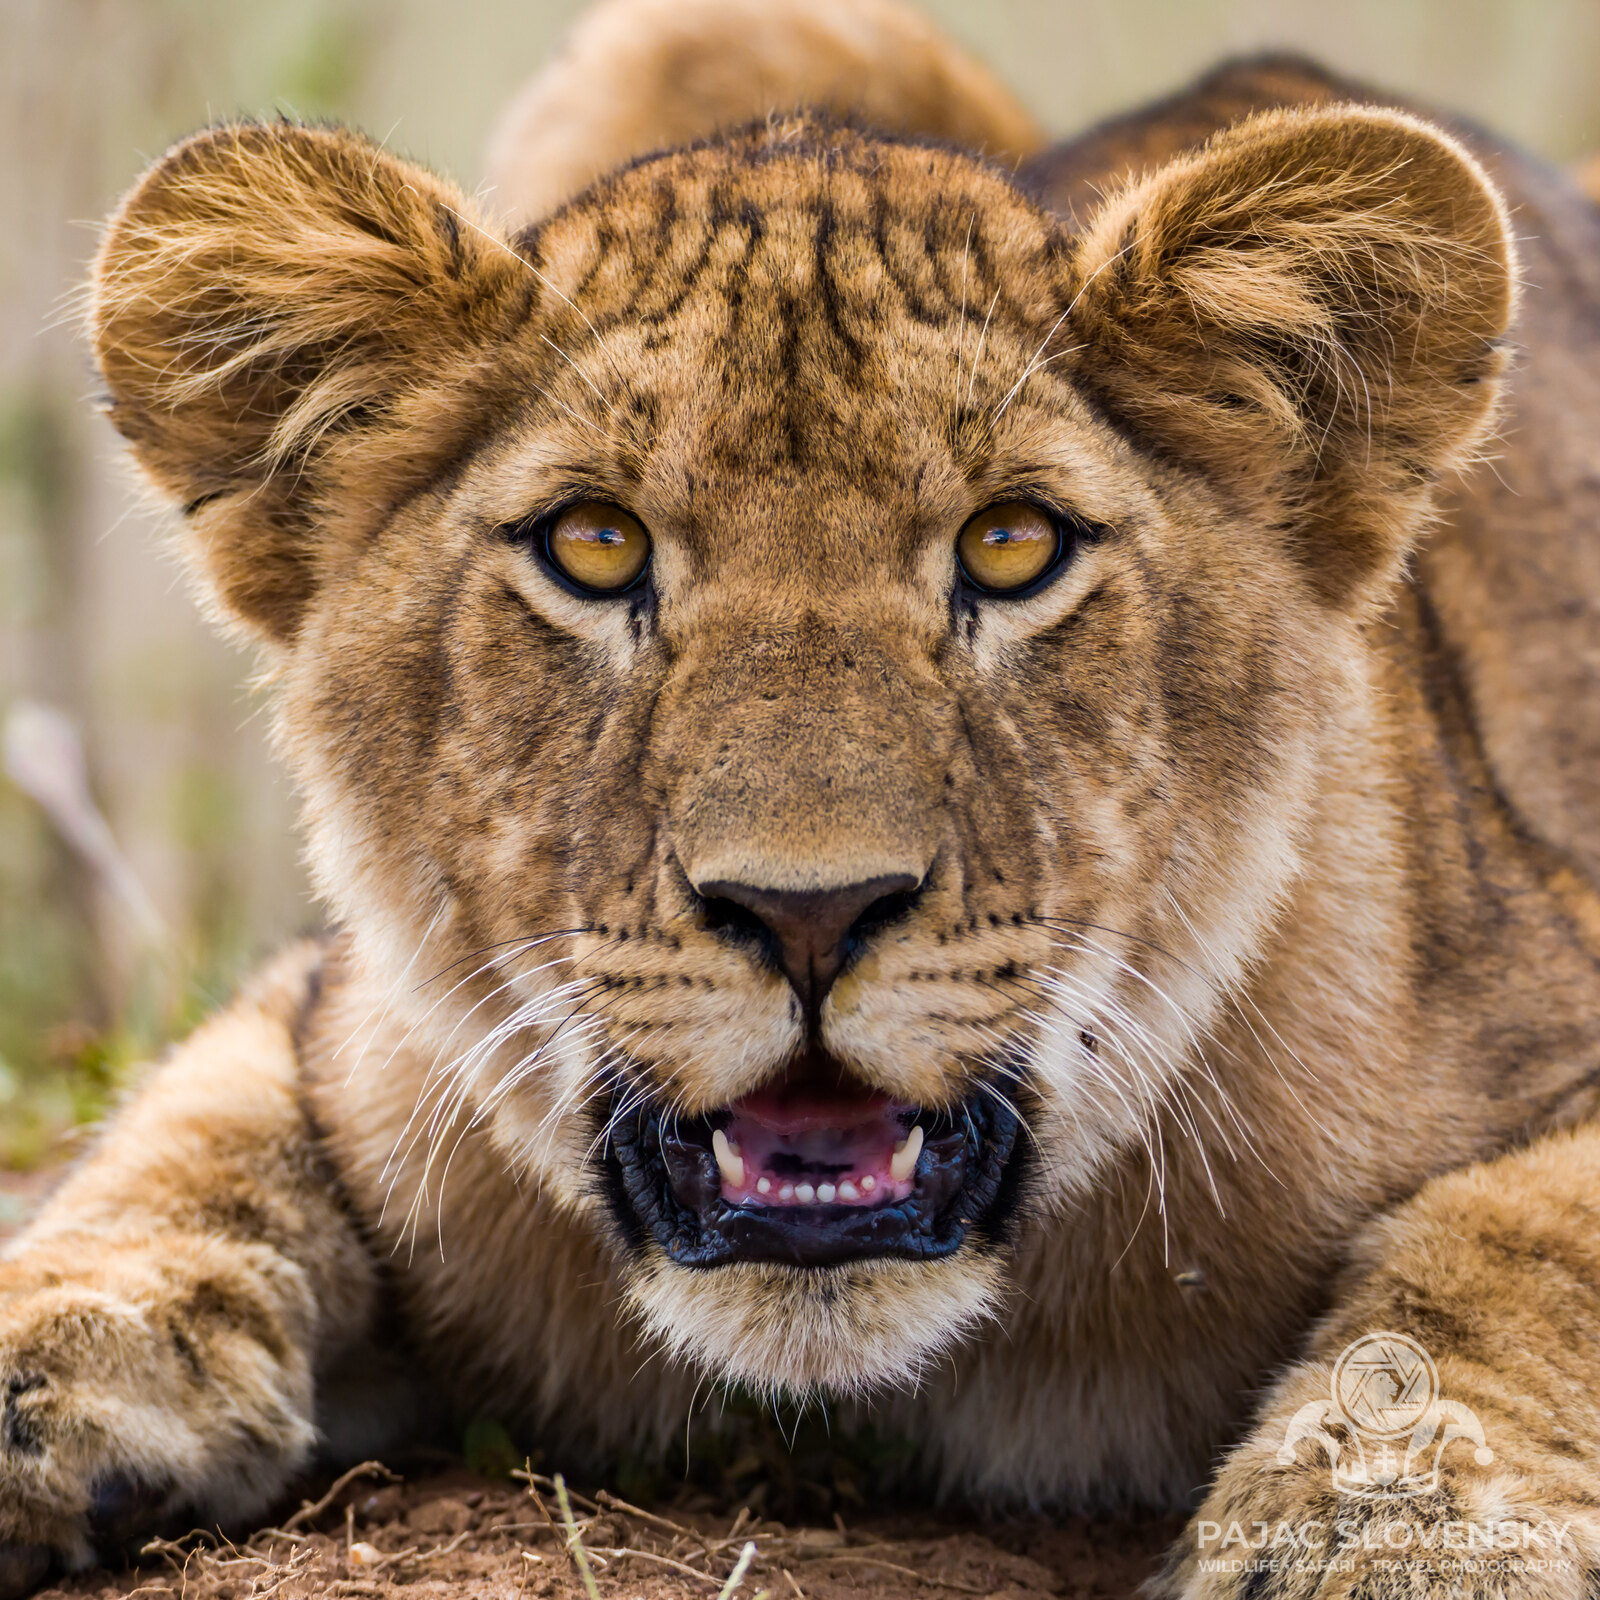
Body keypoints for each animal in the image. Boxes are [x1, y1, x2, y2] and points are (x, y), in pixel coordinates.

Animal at [2, 0, 1598, 1594]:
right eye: (594, 545)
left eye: (1013, 545)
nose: (810, 915)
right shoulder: (343, 1019)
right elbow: (189, 1136)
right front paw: (45, 1362)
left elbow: (1518, 1236)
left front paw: (1389, 1529)